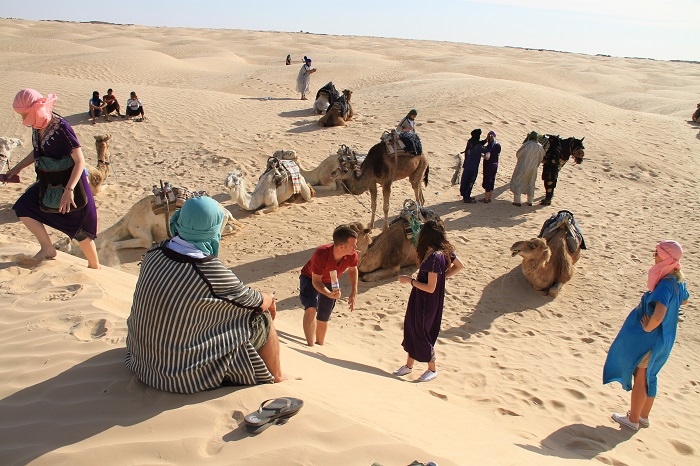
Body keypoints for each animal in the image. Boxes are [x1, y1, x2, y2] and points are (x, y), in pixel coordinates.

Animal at [54, 193, 243, 262]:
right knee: (230, 228)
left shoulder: (142, 233)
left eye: (58, 246)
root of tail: (224, 210)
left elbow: (114, 244)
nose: (53, 252)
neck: (126, 221)